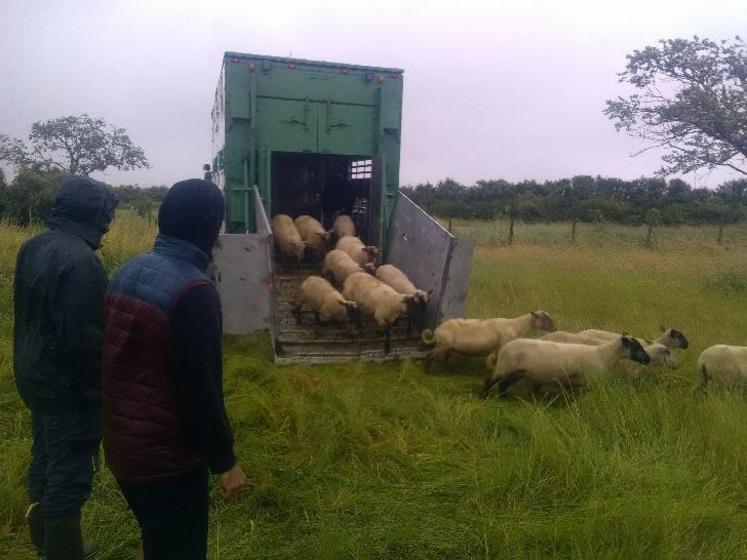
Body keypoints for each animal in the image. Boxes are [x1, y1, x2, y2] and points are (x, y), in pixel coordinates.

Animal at [420, 310, 556, 358]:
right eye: (545, 319)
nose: (555, 329)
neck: (516, 325)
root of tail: (437, 330)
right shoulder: (503, 345)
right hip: (442, 345)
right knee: (429, 355)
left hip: (446, 347)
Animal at [482, 332, 652, 398]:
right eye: (636, 347)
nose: (648, 359)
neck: (603, 355)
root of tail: (504, 347)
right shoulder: (591, 380)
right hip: (505, 367)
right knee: (490, 380)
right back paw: (483, 395)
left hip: (518, 371)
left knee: (503, 384)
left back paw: (504, 397)